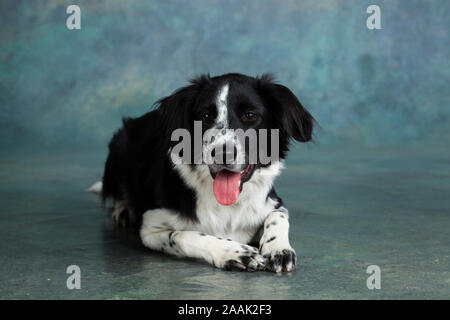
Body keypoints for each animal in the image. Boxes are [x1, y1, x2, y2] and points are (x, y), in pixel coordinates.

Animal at [92, 73, 312, 272]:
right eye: (205, 116)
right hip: (119, 147)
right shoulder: (150, 228)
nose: (223, 153)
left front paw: (279, 249)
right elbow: (183, 235)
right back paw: (123, 209)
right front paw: (234, 252)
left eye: (250, 115)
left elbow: (279, 216)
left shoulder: (273, 203)